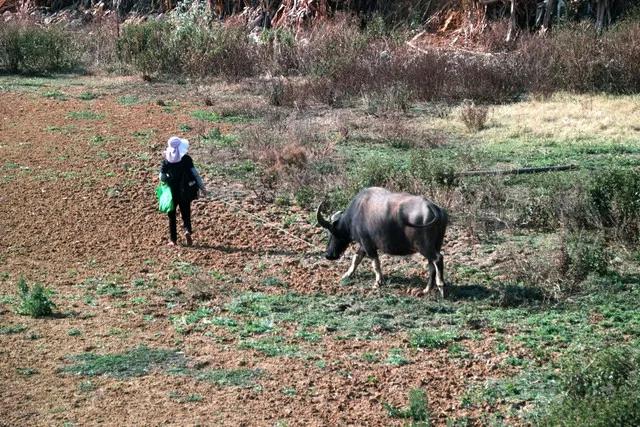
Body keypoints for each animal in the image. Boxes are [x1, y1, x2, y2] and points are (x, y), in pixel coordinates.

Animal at [316, 187, 448, 298]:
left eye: (332, 233)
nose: (328, 255)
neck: (355, 214)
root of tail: (432, 207)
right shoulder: (363, 245)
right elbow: (356, 259)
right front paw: (347, 274)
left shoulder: (367, 244)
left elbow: (375, 263)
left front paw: (378, 282)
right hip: (436, 245)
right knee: (431, 266)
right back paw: (427, 289)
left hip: (424, 246)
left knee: (437, 259)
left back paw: (441, 287)